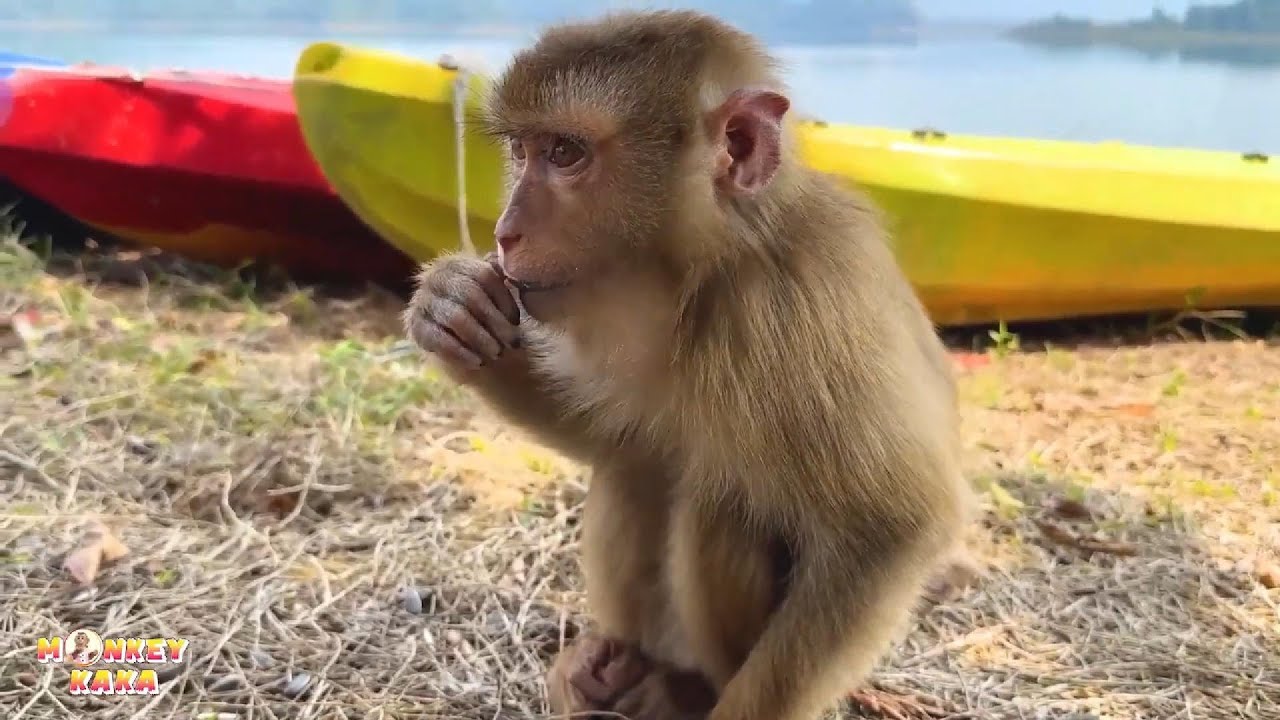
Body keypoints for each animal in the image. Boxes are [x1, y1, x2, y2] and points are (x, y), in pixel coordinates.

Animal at [404, 9, 973, 720]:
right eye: (523, 151)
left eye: (565, 153)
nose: (505, 232)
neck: (713, 267)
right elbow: (619, 434)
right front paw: (449, 305)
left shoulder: (799, 306)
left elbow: (888, 529)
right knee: (643, 463)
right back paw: (617, 668)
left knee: (718, 502)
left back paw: (687, 687)